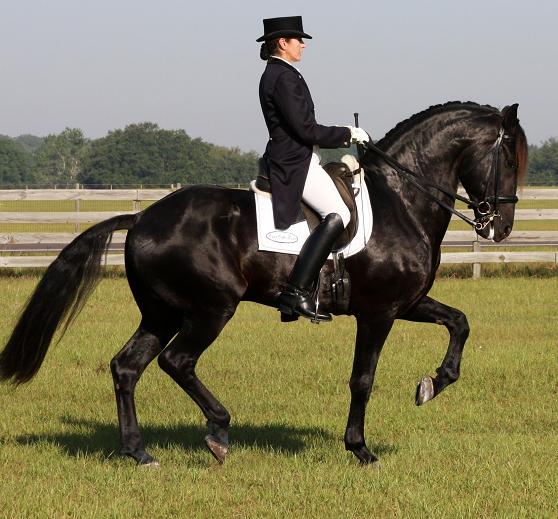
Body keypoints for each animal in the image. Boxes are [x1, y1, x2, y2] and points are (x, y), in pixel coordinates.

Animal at [0, 101, 528, 468]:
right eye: (508, 159)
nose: (499, 227)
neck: (401, 200)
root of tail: (142, 218)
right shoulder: (378, 312)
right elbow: (363, 379)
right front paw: (360, 450)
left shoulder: (407, 301)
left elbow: (459, 323)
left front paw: (431, 385)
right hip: (210, 309)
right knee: (177, 361)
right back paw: (217, 433)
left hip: (162, 312)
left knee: (127, 367)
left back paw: (140, 453)